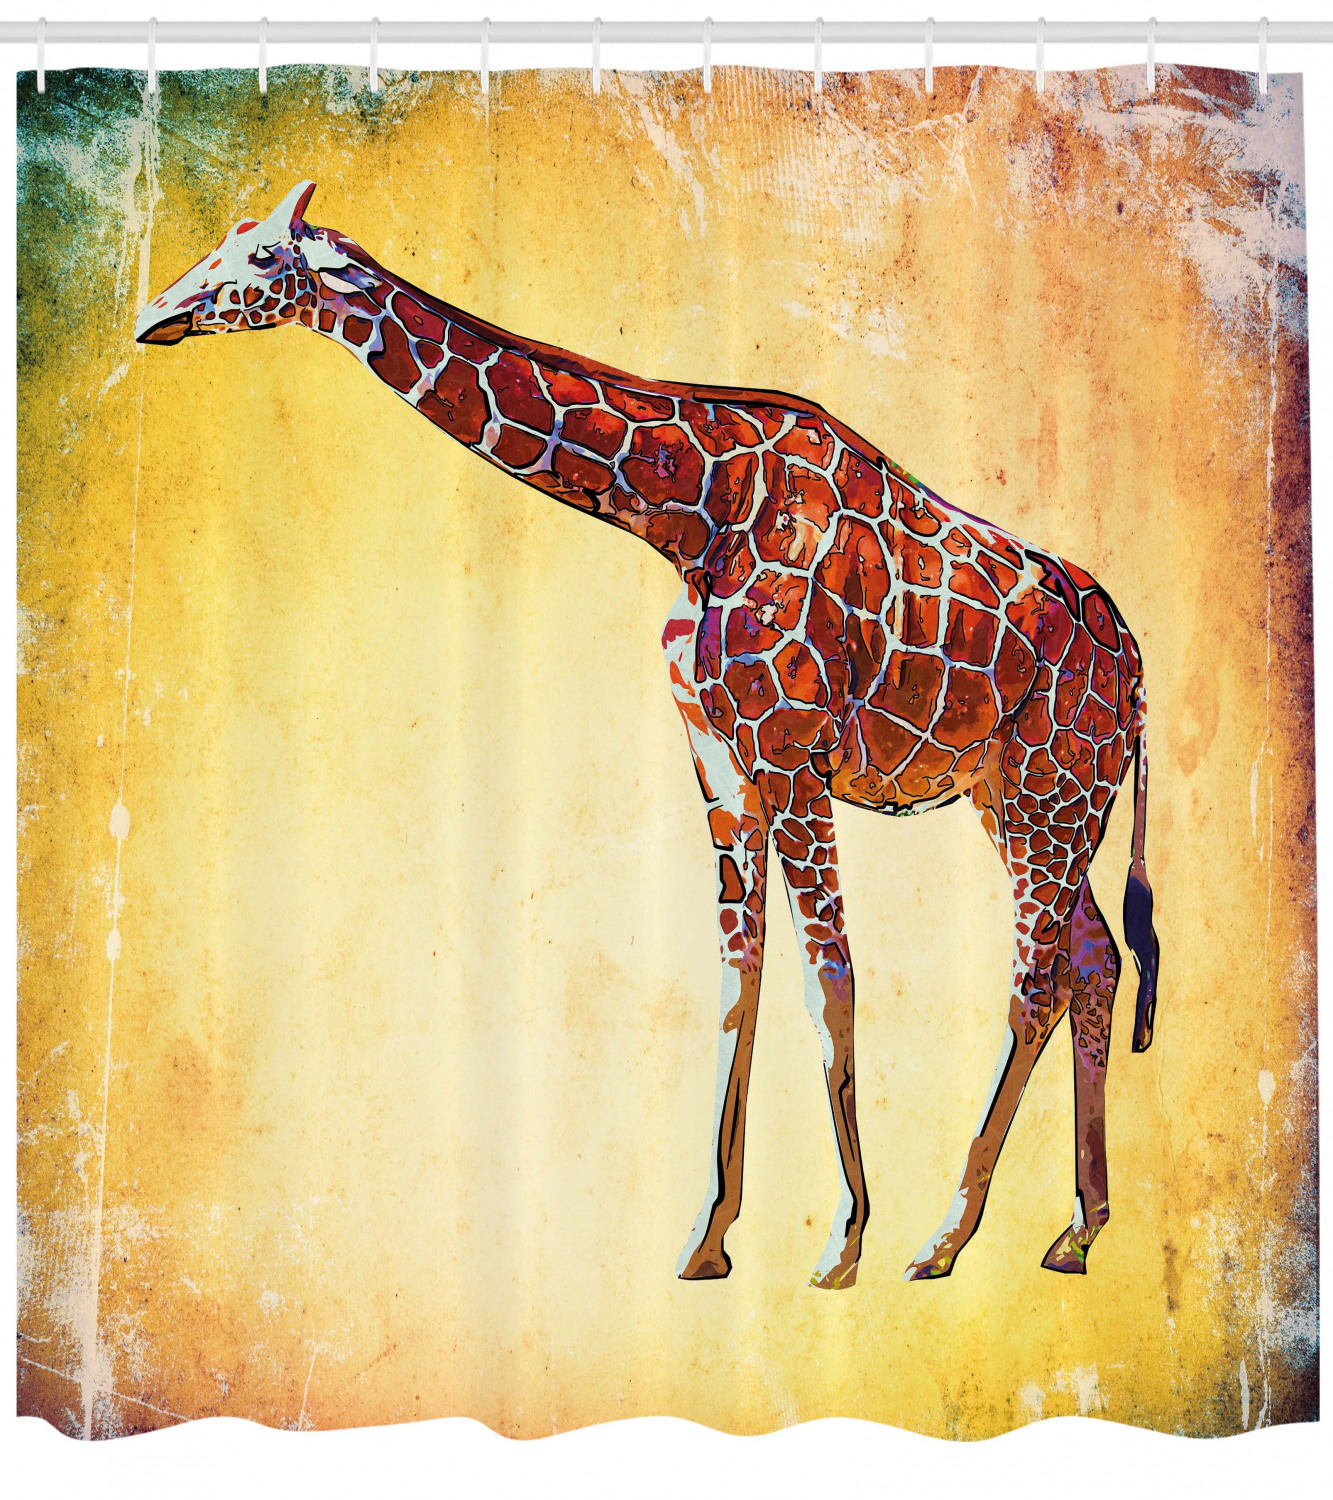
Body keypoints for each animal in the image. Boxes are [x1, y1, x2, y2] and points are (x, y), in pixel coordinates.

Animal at [136, 181, 1161, 1289]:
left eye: (259, 260)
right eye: (222, 242)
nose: (156, 314)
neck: (691, 512)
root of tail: (1138, 669)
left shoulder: (791, 756)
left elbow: (829, 983)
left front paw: (842, 1242)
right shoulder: (721, 764)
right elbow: (735, 983)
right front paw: (706, 1239)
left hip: (1055, 788)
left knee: (1036, 980)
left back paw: (942, 1239)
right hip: (1019, 797)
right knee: (1094, 962)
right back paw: (1076, 1231)